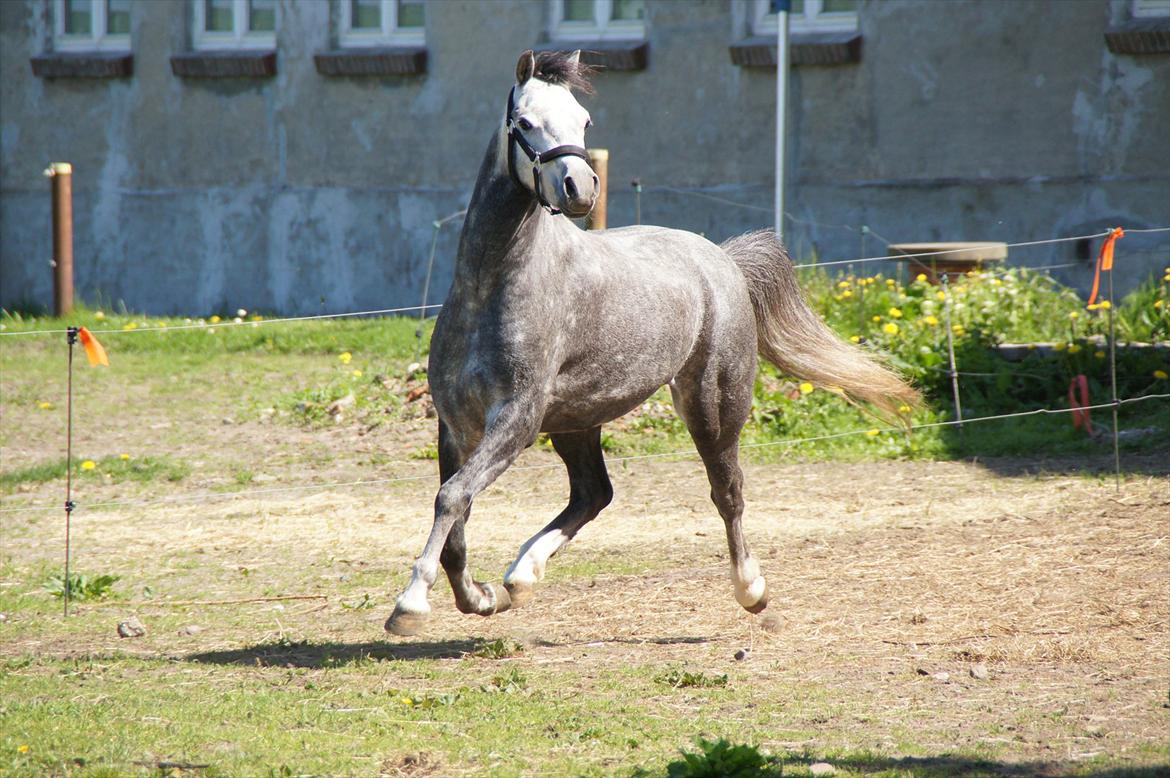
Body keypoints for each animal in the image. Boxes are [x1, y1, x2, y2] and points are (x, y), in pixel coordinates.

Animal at [385, 50, 918, 637]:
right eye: (523, 122)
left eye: (585, 121)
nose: (579, 188)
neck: (491, 287)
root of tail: (723, 259)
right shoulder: (457, 424)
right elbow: (455, 514)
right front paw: (477, 597)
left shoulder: (517, 420)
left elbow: (453, 496)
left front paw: (410, 605)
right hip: (576, 419)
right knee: (594, 492)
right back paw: (521, 576)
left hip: (711, 406)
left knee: (726, 491)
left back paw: (751, 590)